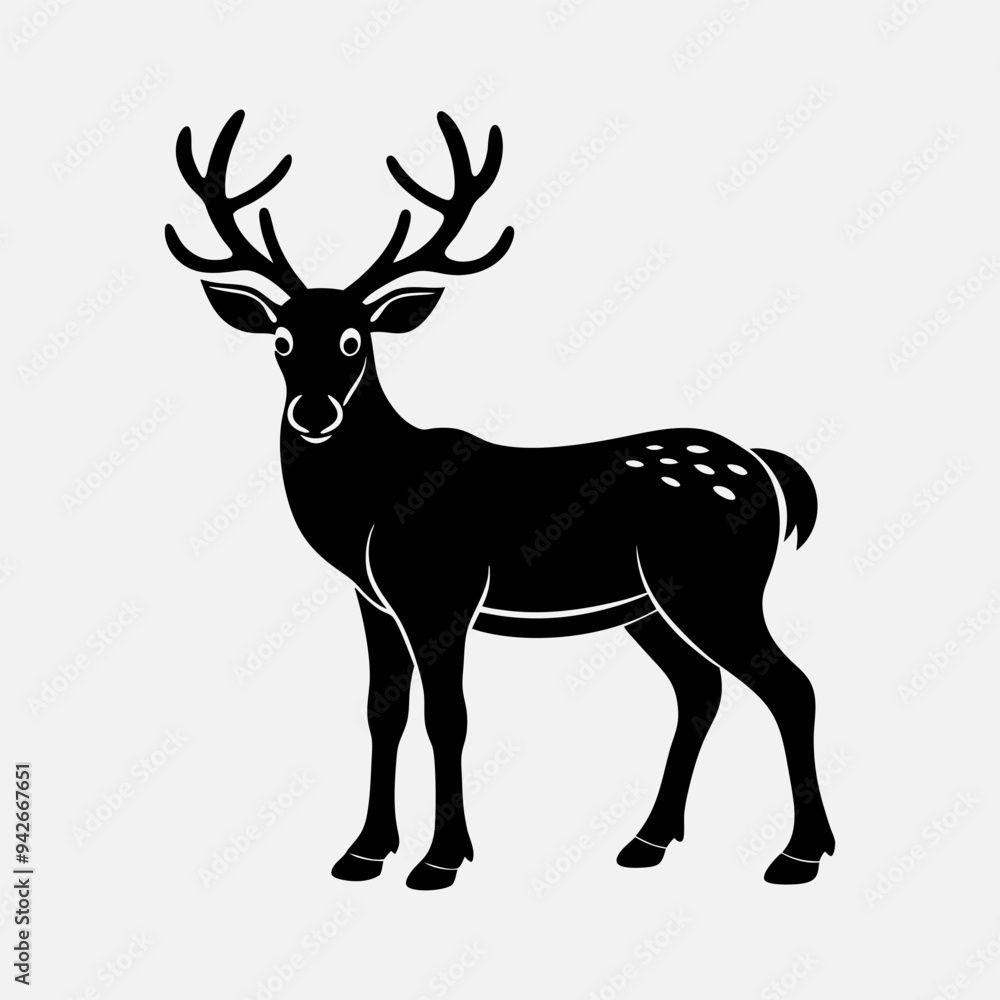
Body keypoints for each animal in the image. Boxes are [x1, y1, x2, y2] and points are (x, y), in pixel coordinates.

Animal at [165, 109, 835, 891]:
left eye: (354, 340)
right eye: (280, 339)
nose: (314, 411)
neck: (371, 505)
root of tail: (769, 468)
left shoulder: (444, 590)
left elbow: (447, 717)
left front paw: (440, 860)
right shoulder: (374, 598)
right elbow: (382, 711)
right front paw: (363, 852)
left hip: (715, 583)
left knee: (790, 685)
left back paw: (798, 854)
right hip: (648, 604)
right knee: (701, 687)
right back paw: (648, 842)